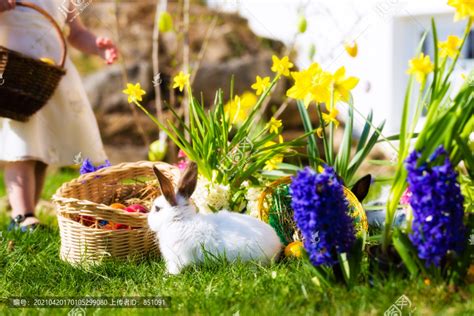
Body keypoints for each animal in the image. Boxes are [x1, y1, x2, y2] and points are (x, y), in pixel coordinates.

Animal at [148, 163, 282, 274]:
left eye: (157, 208)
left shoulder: (178, 258)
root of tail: (278, 245)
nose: (148, 220)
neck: (180, 220)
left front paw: (167, 276)